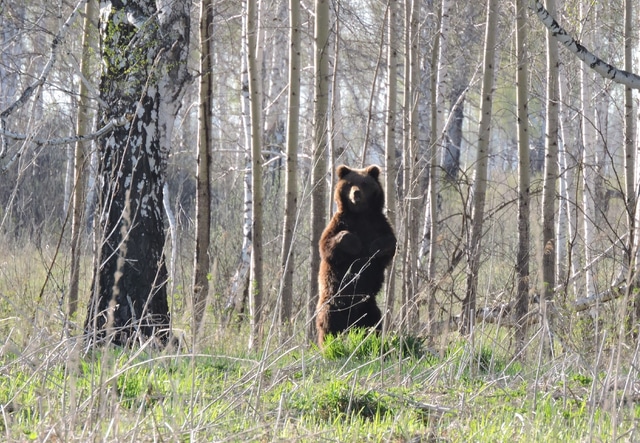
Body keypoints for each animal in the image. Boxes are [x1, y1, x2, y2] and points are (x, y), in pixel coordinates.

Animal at [315, 164, 397, 347]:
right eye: (350, 183)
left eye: (364, 183)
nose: (356, 193)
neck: (360, 214)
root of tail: (350, 323)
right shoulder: (340, 222)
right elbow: (327, 245)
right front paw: (355, 243)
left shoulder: (378, 224)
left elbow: (390, 243)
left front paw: (374, 247)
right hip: (333, 302)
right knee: (328, 325)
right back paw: (328, 345)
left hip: (368, 307)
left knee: (373, 323)